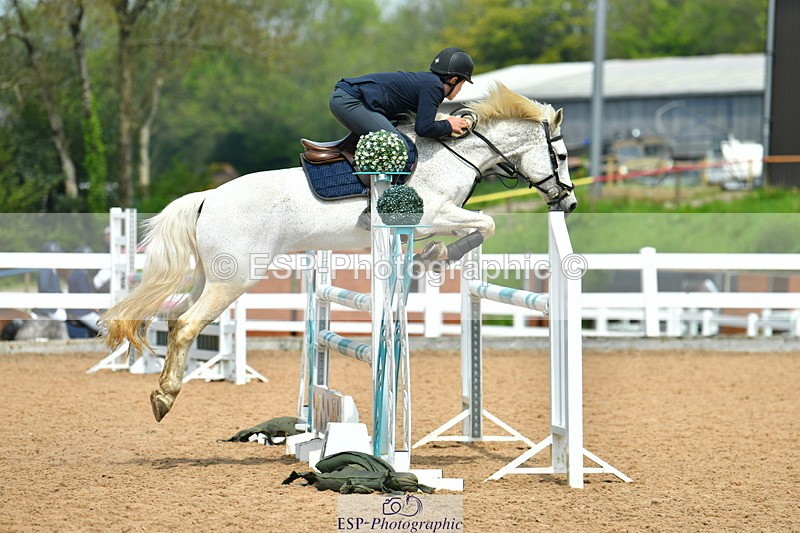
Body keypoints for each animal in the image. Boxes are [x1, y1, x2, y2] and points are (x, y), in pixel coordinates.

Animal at [102, 83, 578, 422]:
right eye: (561, 155)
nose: (569, 203)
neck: (452, 157)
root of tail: (207, 197)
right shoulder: (429, 215)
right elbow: (485, 224)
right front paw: (436, 256)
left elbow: (481, 226)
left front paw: (432, 257)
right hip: (234, 279)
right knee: (186, 324)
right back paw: (165, 398)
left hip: (209, 276)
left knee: (174, 317)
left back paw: (162, 391)